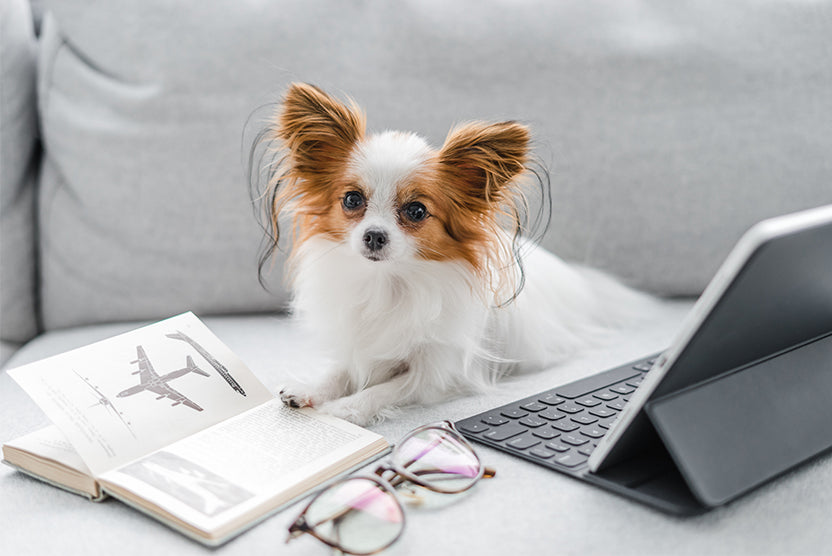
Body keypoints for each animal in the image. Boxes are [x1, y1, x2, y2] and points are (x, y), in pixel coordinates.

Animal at [256, 82, 648, 424]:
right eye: (352, 200)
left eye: (416, 211)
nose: (374, 236)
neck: (389, 282)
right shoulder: (360, 345)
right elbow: (339, 372)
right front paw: (310, 388)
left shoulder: (437, 372)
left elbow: (387, 389)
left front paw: (346, 409)